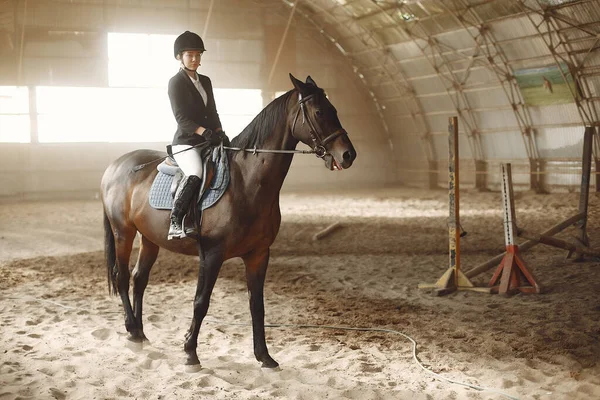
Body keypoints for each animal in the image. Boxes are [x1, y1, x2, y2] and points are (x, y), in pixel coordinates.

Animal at [101, 73, 356, 368]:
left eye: (334, 109)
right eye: (318, 112)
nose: (348, 155)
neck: (246, 182)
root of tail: (114, 166)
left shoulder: (259, 254)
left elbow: (257, 305)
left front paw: (264, 356)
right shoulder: (211, 254)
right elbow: (201, 302)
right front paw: (190, 351)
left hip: (150, 238)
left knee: (139, 278)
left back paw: (140, 334)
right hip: (123, 232)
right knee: (121, 277)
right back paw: (132, 329)